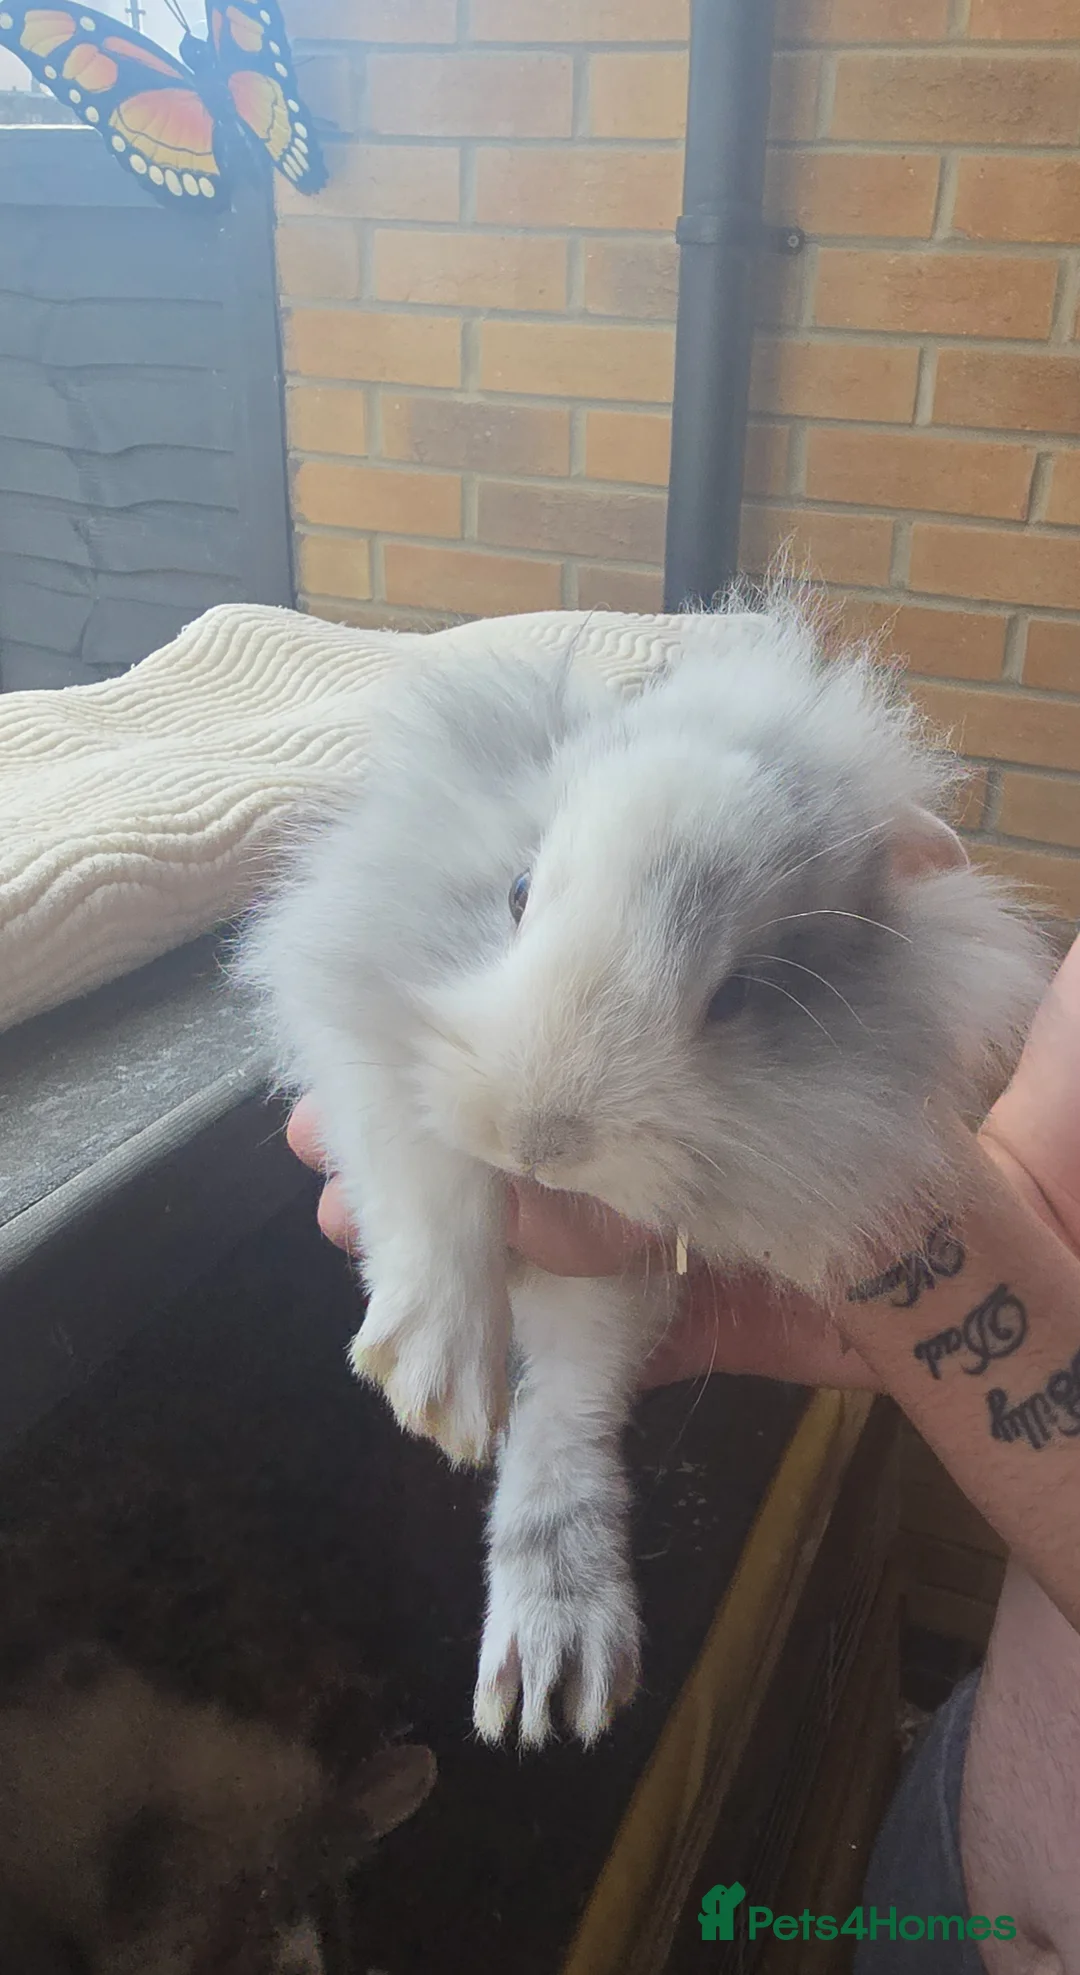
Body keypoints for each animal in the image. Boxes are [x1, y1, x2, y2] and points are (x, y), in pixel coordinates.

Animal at [237, 594, 1050, 1751]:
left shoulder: (621, 1269)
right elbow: (430, 1191)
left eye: (741, 993)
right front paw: (435, 1382)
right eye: (519, 889)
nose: (542, 1135)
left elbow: (570, 1407)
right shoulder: (374, 1075)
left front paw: (558, 1662)